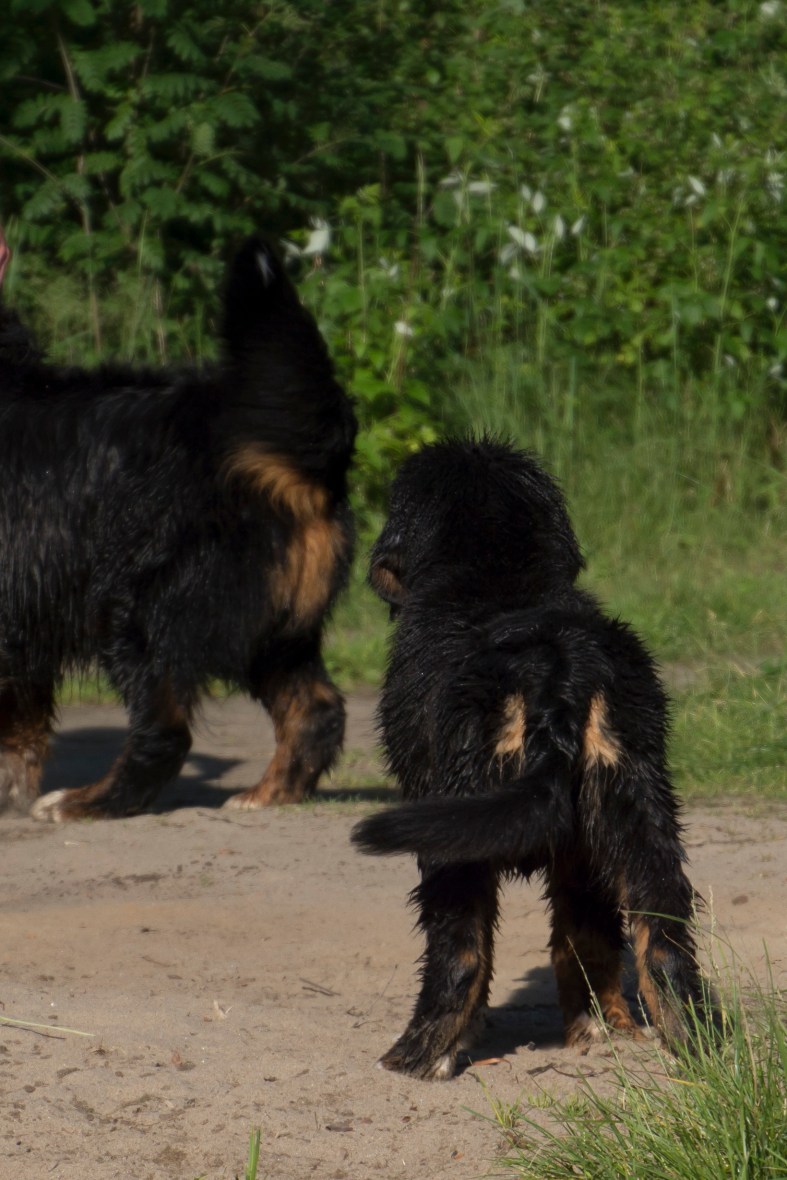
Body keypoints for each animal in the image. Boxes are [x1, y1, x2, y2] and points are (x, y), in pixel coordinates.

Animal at [0, 227, 356, 821]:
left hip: (138, 612)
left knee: (165, 734)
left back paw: (85, 802)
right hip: (274, 627)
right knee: (317, 709)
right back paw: (268, 794)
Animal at [352, 437, 705, 1079]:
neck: (502, 575)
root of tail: (553, 676)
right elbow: (583, 940)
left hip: (452, 824)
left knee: (459, 949)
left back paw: (418, 1055)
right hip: (635, 800)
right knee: (658, 937)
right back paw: (679, 1040)